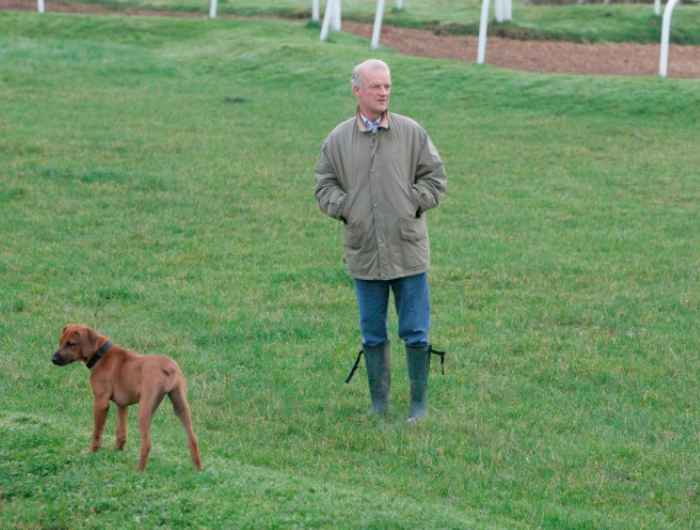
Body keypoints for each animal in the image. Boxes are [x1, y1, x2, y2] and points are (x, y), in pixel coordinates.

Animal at [53, 322, 201, 470]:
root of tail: (168, 367)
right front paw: (116, 454)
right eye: (61, 341)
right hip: (181, 406)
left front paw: (92, 453)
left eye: (71, 343)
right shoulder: (122, 405)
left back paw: (139, 470)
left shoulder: (101, 402)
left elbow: (97, 432)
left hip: (144, 410)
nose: (53, 359)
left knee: (147, 443)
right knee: (193, 439)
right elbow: (121, 434)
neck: (101, 355)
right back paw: (198, 470)